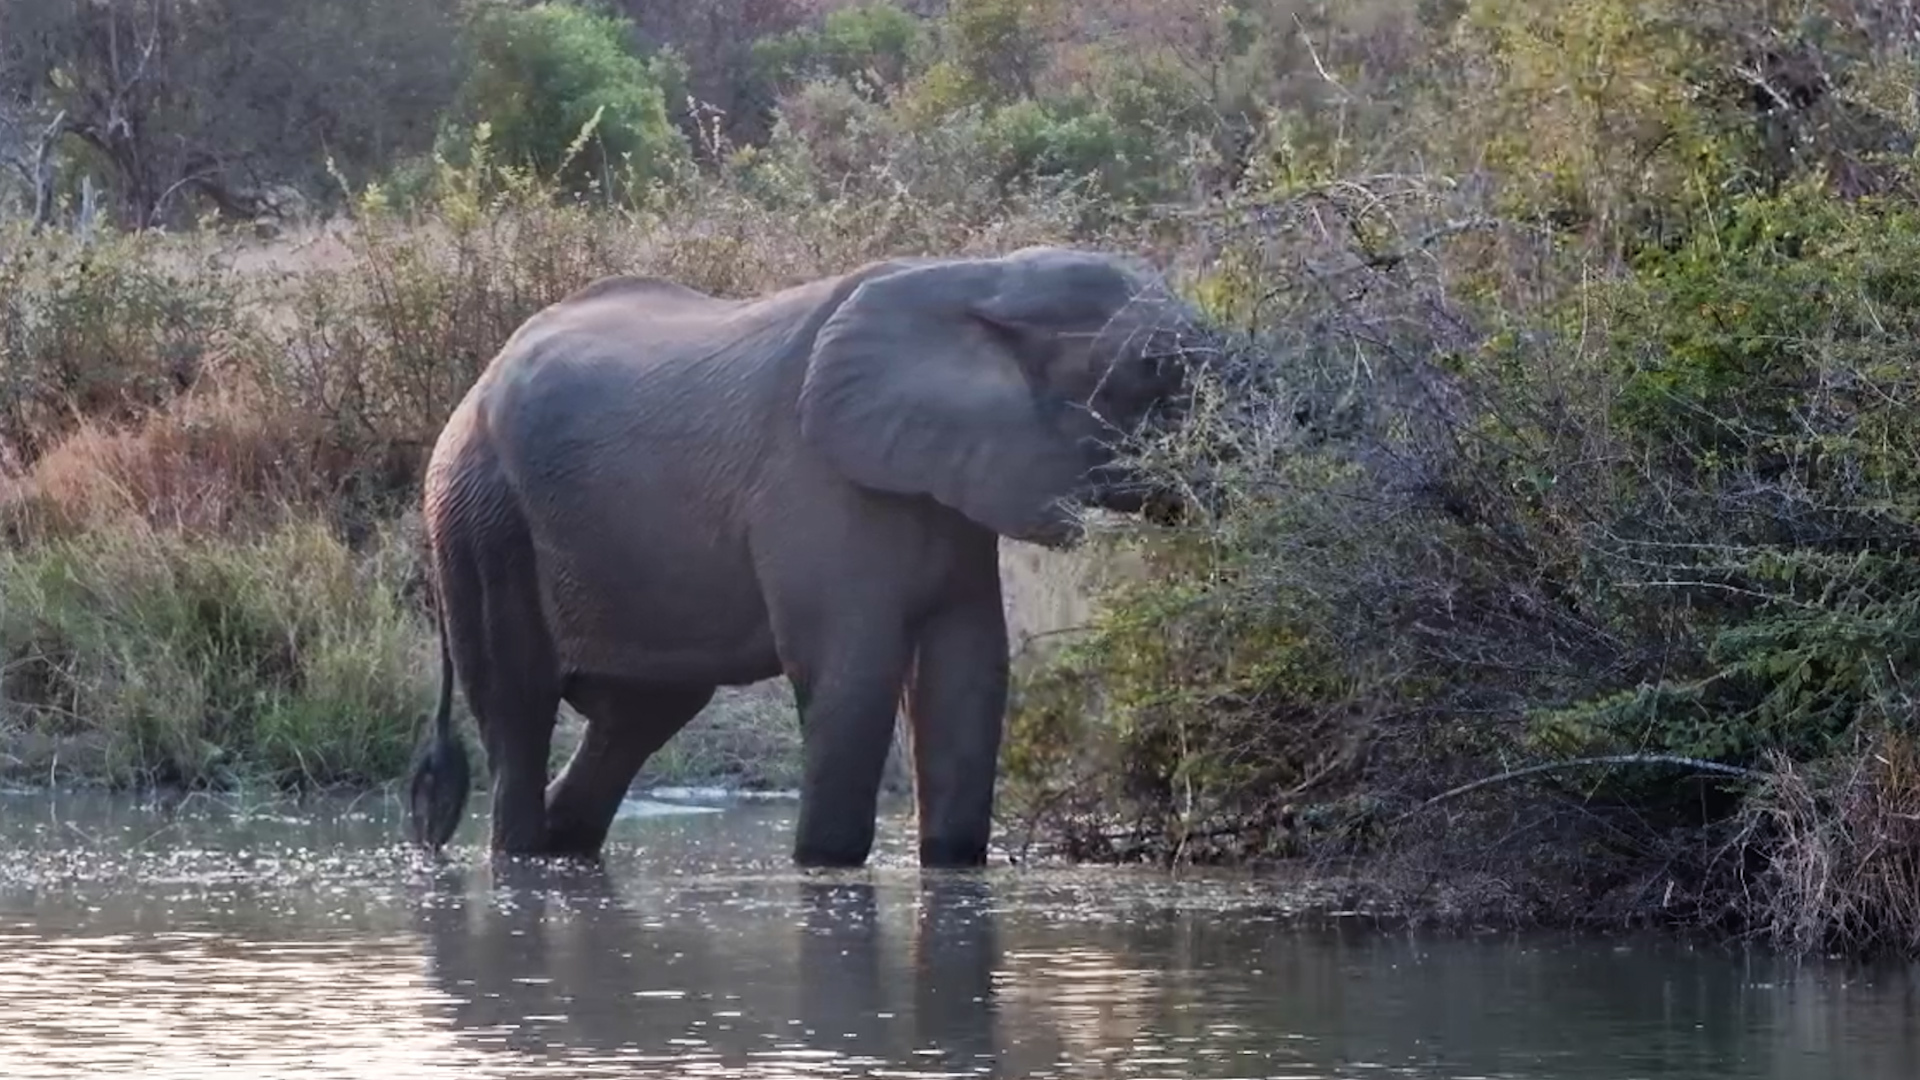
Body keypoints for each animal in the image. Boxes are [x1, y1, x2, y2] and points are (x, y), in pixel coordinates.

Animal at [403, 244, 1215, 869]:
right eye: (1153, 369)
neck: (978, 277)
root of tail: (477, 383)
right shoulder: (813, 484)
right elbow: (852, 670)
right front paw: (824, 868)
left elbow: (969, 669)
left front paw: (951, 864)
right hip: (480, 516)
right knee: (520, 708)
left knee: (638, 715)